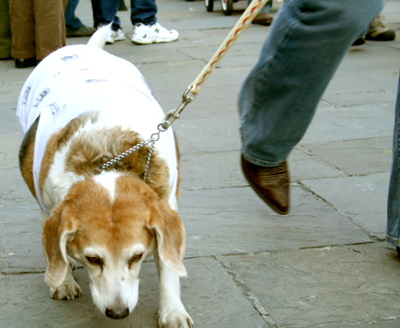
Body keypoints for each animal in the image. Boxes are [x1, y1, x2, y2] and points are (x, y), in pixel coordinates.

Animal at [16, 37, 194, 326]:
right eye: (93, 258)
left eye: (137, 256)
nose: (118, 313)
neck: (108, 160)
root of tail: (79, 47)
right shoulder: (50, 202)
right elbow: (54, 245)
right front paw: (62, 279)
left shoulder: (168, 207)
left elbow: (168, 265)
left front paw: (172, 312)